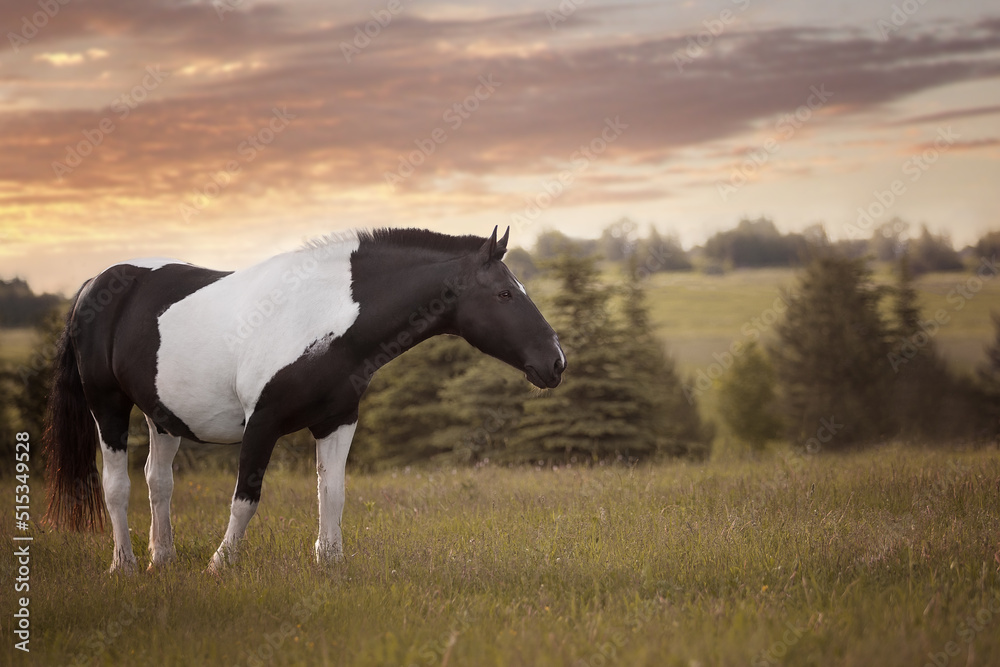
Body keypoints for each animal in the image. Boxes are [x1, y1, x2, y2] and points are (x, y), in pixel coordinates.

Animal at [42, 227, 565, 573]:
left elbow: (331, 494)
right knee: (117, 486)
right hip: (107, 405)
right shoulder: (262, 423)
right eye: (504, 293)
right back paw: (124, 565)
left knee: (158, 482)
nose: (556, 362)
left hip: (162, 416)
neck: (325, 316)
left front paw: (330, 565)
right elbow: (245, 498)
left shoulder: (338, 421)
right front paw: (220, 565)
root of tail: (94, 285)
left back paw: (163, 560)